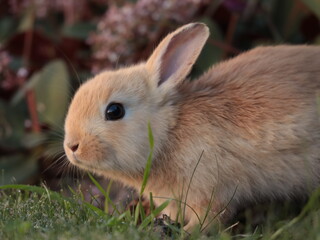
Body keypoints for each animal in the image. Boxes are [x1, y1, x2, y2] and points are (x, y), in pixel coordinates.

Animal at [63, 22, 320, 231]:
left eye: (114, 111)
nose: (72, 146)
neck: (170, 133)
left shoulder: (210, 192)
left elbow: (209, 219)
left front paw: (183, 232)